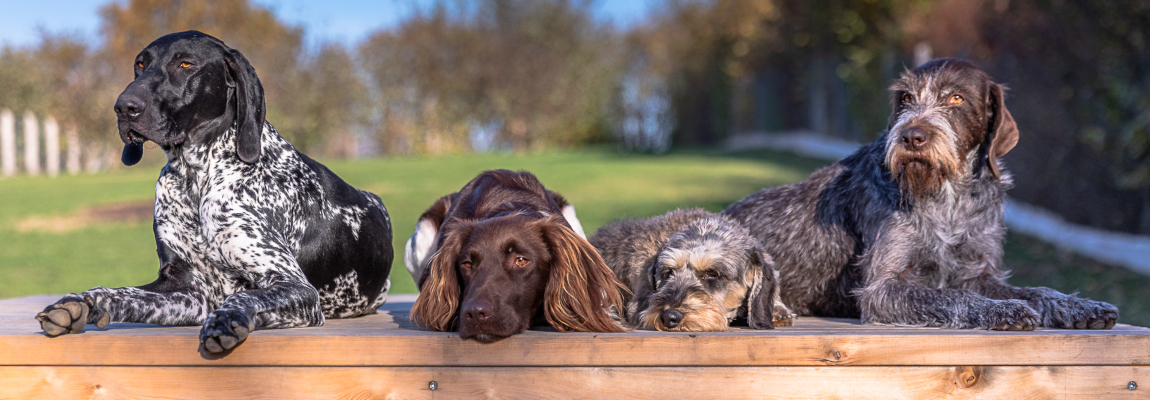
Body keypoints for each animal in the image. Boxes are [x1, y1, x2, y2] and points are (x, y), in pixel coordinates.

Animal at [33, 31, 393, 351]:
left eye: (186, 64)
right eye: (139, 64)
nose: (124, 107)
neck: (195, 176)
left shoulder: (293, 285)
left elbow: (241, 294)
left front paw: (226, 319)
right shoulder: (187, 290)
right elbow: (120, 292)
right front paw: (83, 302)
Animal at [726, 56, 1113, 331]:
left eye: (956, 98)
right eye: (908, 98)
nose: (911, 136)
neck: (948, 195)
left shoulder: (978, 273)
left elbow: (1036, 291)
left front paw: (1079, 305)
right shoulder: (882, 289)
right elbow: (951, 295)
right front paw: (1002, 310)